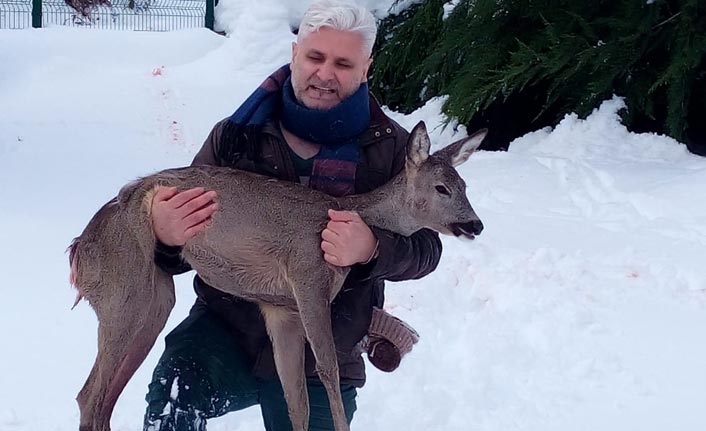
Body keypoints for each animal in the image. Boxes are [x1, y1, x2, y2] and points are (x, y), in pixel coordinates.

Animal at [70, 121, 484, 431]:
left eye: (465, 186)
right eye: (441, 188)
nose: (475, 224)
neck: (349, 212)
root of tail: (79, 254)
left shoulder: (280, 308)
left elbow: (296, 399)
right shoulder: (307, 276)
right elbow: (328, 368)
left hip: (155, 297)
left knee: (104, 396)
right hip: (124, 287)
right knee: (88, 395)